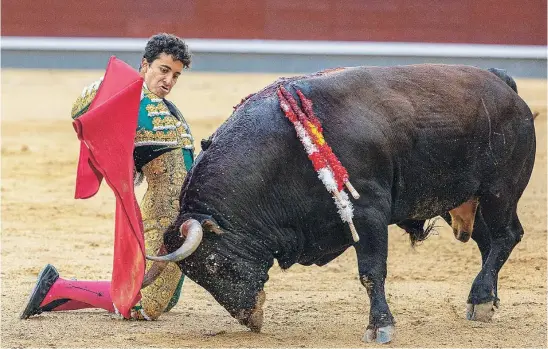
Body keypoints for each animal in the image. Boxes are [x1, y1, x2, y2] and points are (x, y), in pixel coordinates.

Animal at [148, 64, 532, 342]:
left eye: (216, 266)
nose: (250, 318)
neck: (284, 153)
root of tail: (503, 83)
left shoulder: (368, 212)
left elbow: (371, 271)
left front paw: (380, 326)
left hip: (499, 192)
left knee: (506, 237)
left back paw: (480, 300)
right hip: (472, 201)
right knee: (488, 244)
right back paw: (485, 300)